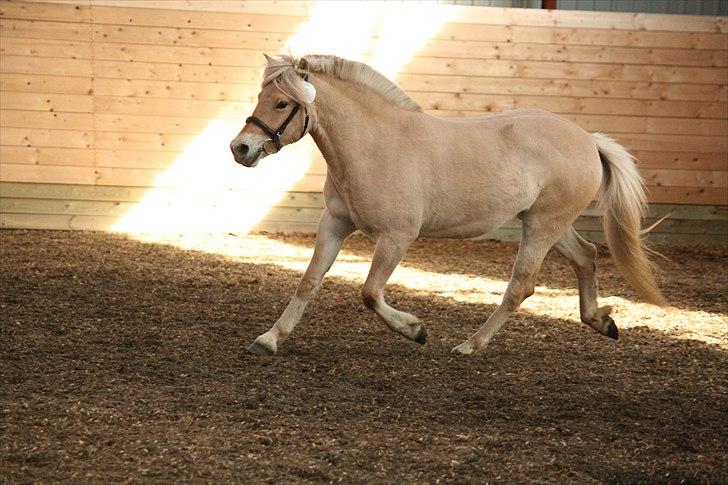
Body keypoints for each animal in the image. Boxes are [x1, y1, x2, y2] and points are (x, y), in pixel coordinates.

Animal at [229, 54, 664, 356]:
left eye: (282, 104)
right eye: (262, 96)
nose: (241, 148)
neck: (374, 145)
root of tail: (588, 140)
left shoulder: (397, 237)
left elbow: (370, 292)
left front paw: (416, 330)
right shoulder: (334, 223)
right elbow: (309, 281)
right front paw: (269, 339)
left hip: (542, 226)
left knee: (521, 285)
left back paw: (470, 346)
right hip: (548, 225)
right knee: (586, 256)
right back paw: (602, 322)